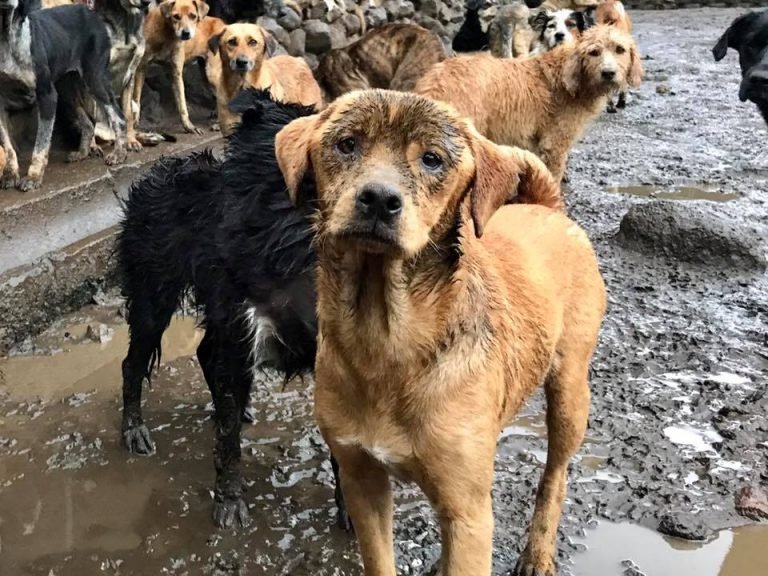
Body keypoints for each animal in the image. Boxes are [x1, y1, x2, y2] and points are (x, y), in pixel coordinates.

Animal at [0, 0, 127, 192]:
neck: (5, 38)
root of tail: (91, 12)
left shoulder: (47, 95)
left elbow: (41, 143)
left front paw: (33, 177)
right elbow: (7, 145)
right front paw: (10, 174)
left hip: (94, 79)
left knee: (118, 117)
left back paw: (119, 154)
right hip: (66, 90)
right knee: (88, 123)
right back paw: (82, 153)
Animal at [115, 89, 346, 532]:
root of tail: (157, 172)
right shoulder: (241, 330)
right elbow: (228, 441)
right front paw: (230, 500)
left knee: (205, 354)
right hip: (155, 294)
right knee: (133, 363)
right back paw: (133, 430)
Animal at [274, 90, 608, 576]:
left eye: (432, 159)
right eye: (347, 144)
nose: (379, 199)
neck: (388, 338)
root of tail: (544, 206)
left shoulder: (467, 511)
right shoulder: (361, 481)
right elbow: (380, 562)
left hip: (569, 393)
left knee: (555, 473)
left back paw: (538, 551)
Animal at [414, 24, 640, 182]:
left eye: (620, 49)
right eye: (594, 52)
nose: (608, 73)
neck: (570, 78)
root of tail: (434, 80)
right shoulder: (554, 146)